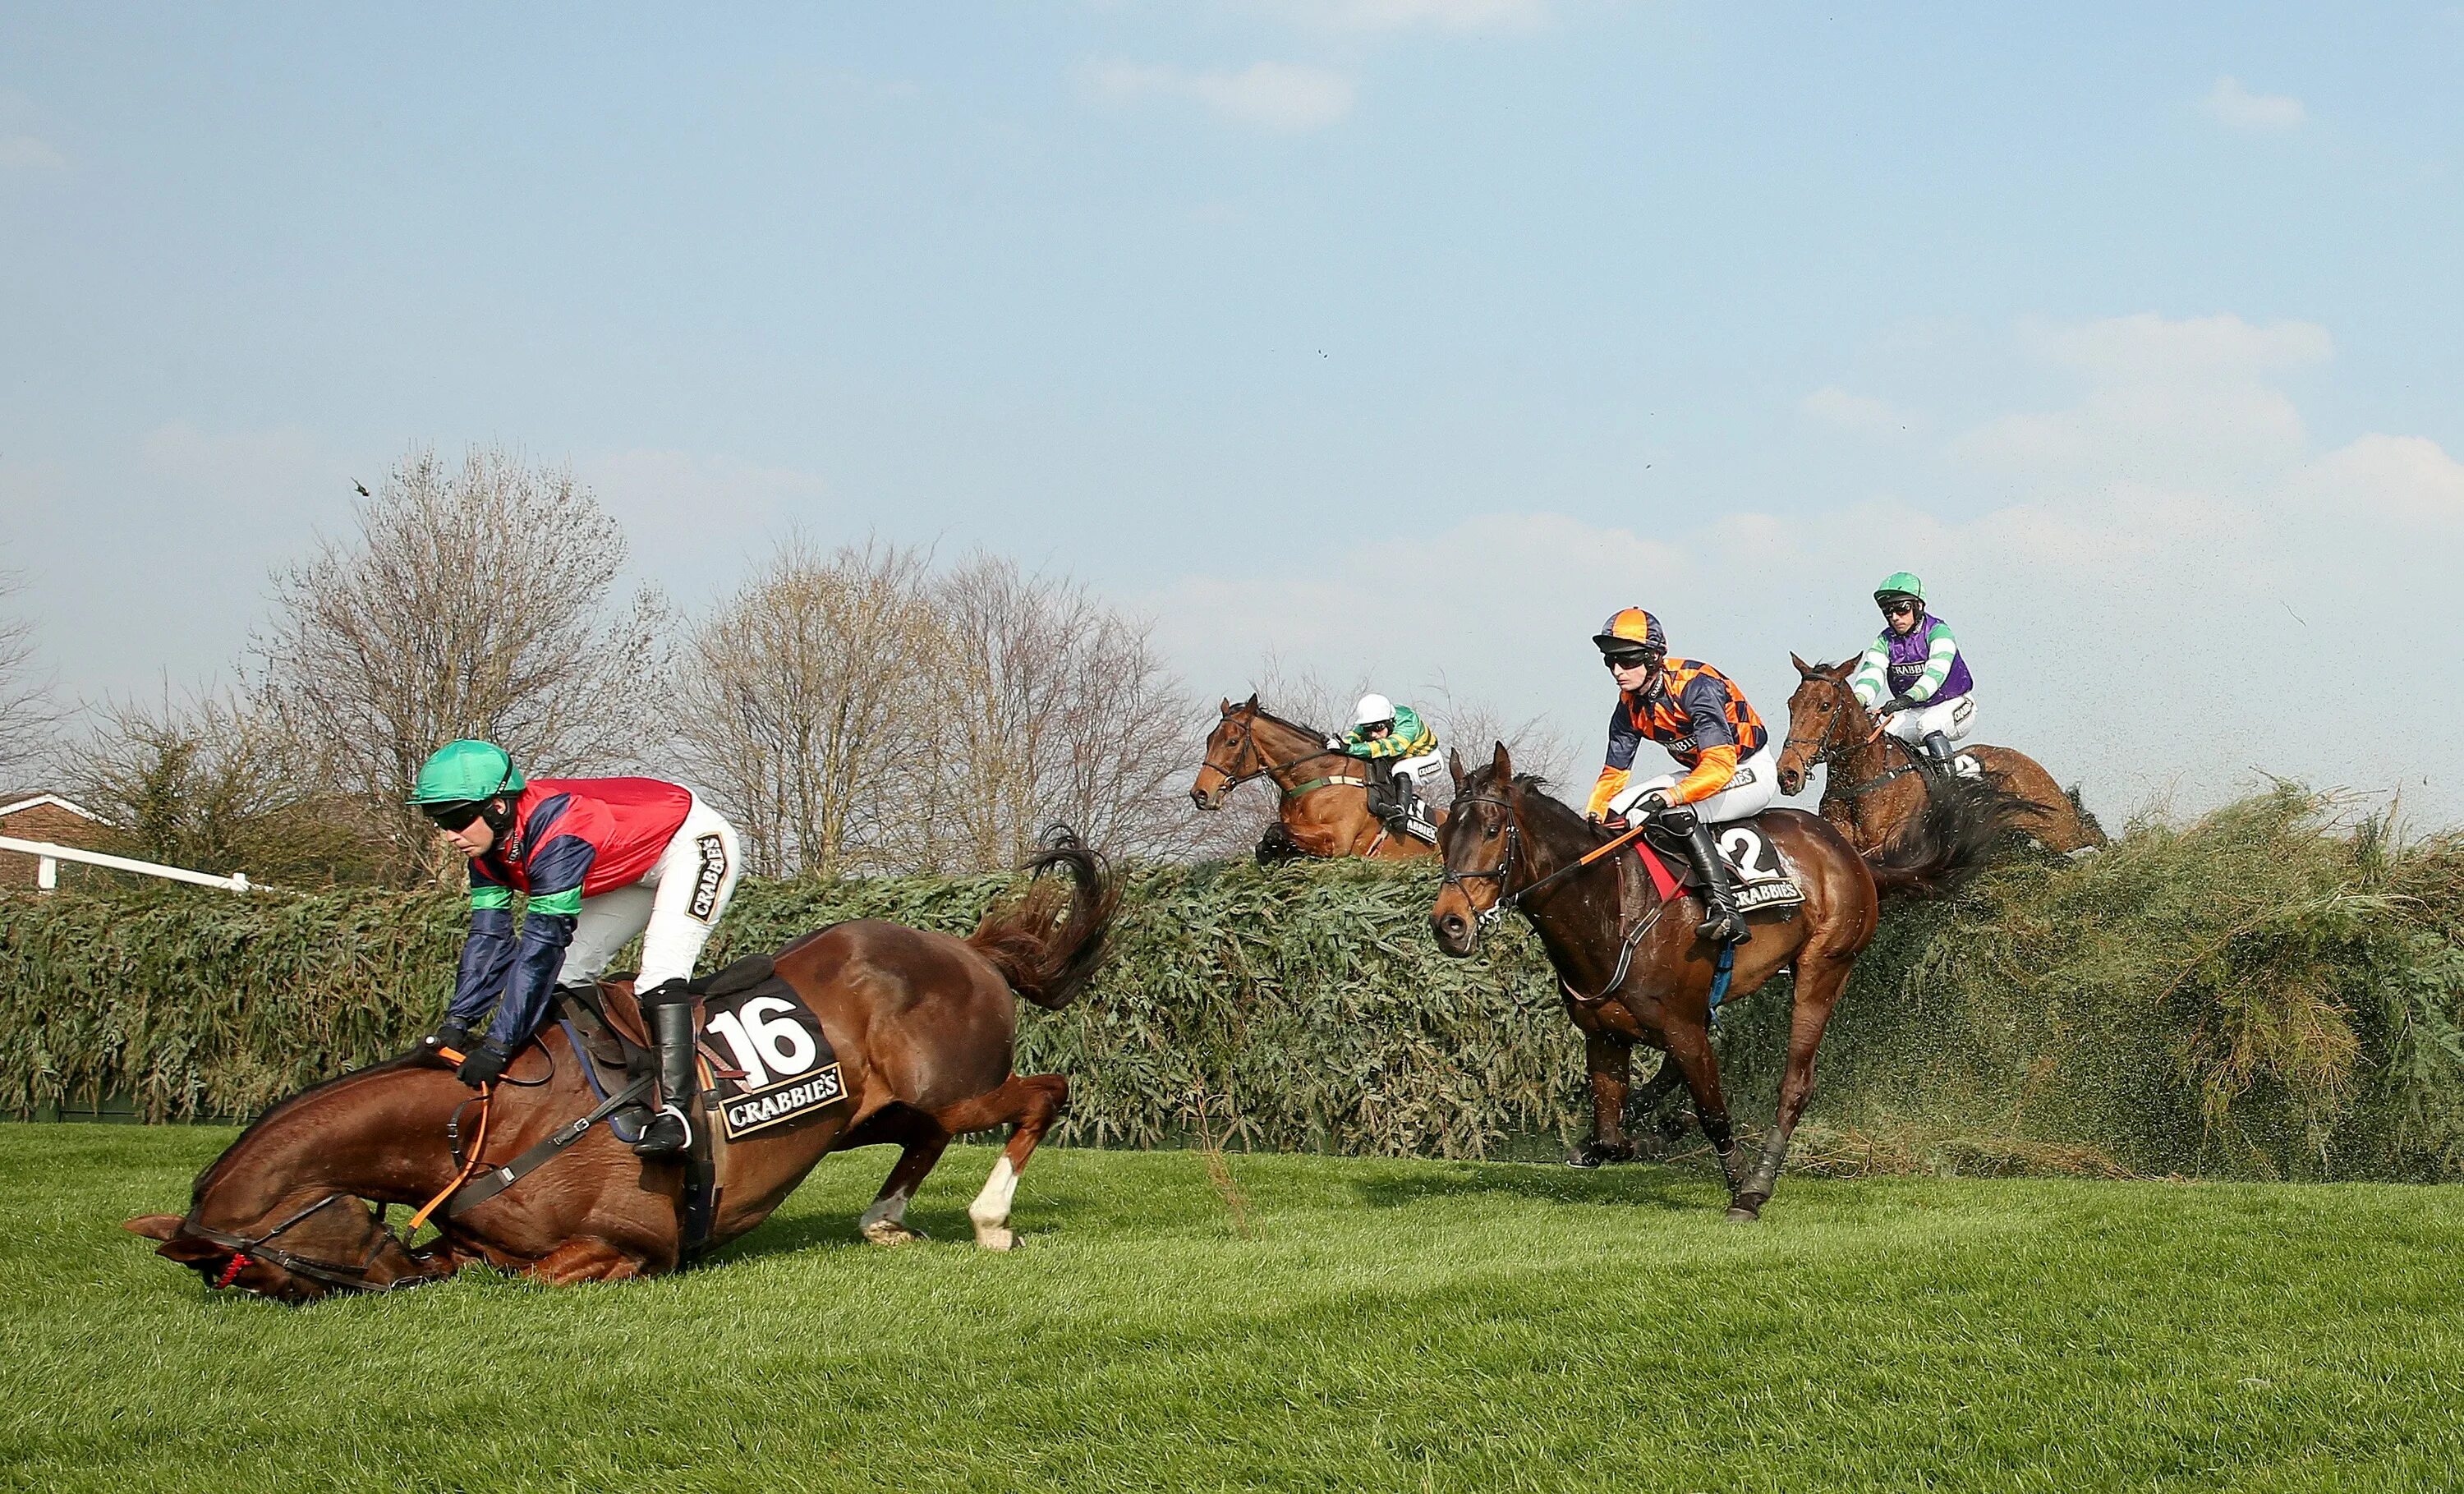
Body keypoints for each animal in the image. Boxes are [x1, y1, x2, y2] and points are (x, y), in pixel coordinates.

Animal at [117, 838, 1119, 1301]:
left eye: (264, 1276)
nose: (399, 1281)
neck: (475, 1131)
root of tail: (970, 949)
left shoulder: (627, 1241)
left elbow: (531, 1274)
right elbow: (474, 1256)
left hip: (953, 1085)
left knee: (1042, 1096)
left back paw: (989, 1221)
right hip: (874, 1110)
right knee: (923, 1138)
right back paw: (884, 1220)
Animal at [1183, 700, 1439, 867]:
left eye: (1232, 742)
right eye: (1209, 740)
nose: (1200, 794)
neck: (1317, 778)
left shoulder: (1337, 839)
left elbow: (1275, 829)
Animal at [1429, 744, 2020, 1222]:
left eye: (1491, 830)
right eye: (1441, 833)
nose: (1448, 924)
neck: (1610, 905)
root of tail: (1851, 854)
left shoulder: (1685, 1029)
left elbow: (1713, 1115)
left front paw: (1737, 1185)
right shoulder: (1604, 1034)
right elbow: (1612, 1134)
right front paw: (1633, 1134)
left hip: (1823, 969)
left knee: (1795, 1084)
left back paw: (1758, 1179)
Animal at [1774, 655, 2099, 853]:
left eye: (1825, 705)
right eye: (1791, 704)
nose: (1788, 773)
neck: (1864, 782)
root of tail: (2031, 766)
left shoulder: (1898, 843)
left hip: (2058, 828)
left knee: (2088, 831)